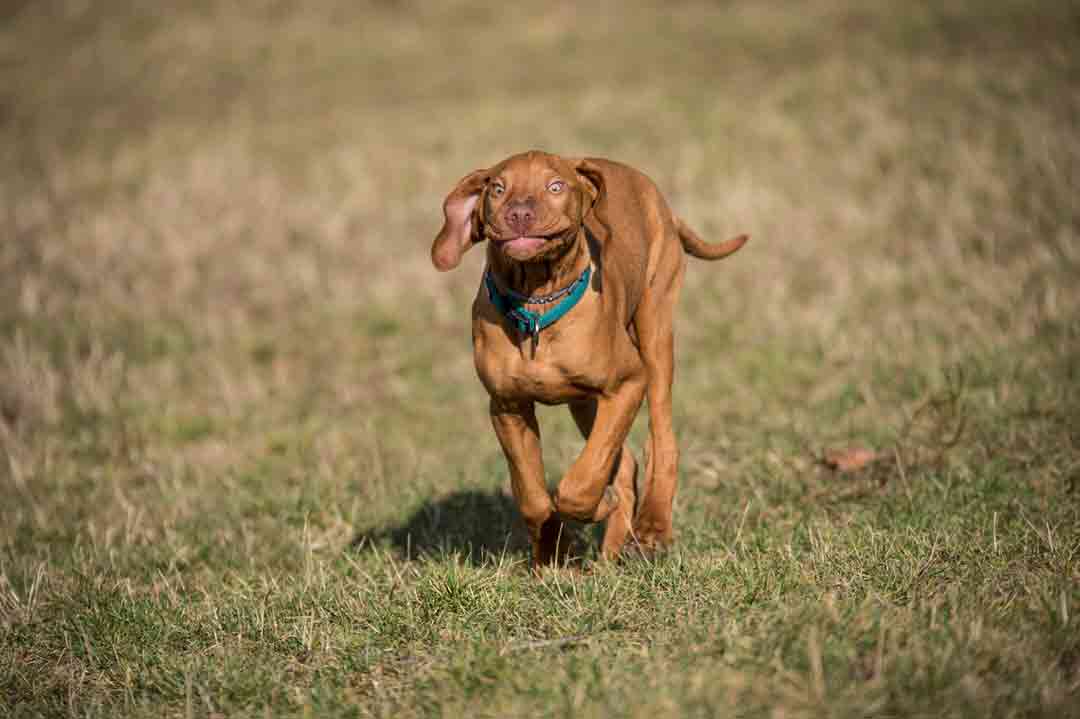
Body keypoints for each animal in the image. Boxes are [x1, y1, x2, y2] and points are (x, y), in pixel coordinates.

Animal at [429, 151, 743, 565]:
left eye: (555, 186)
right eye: (497, 188)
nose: (518, 213)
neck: (537, 303)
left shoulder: (628, 383)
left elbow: (580, 482)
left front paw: (595, 508)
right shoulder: (508, 406)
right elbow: (533, 496)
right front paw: (553, 559)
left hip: (655, 332)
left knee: (660, 441)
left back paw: (651, 528)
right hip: (584, 402)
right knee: (624, 463)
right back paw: (611, 553)